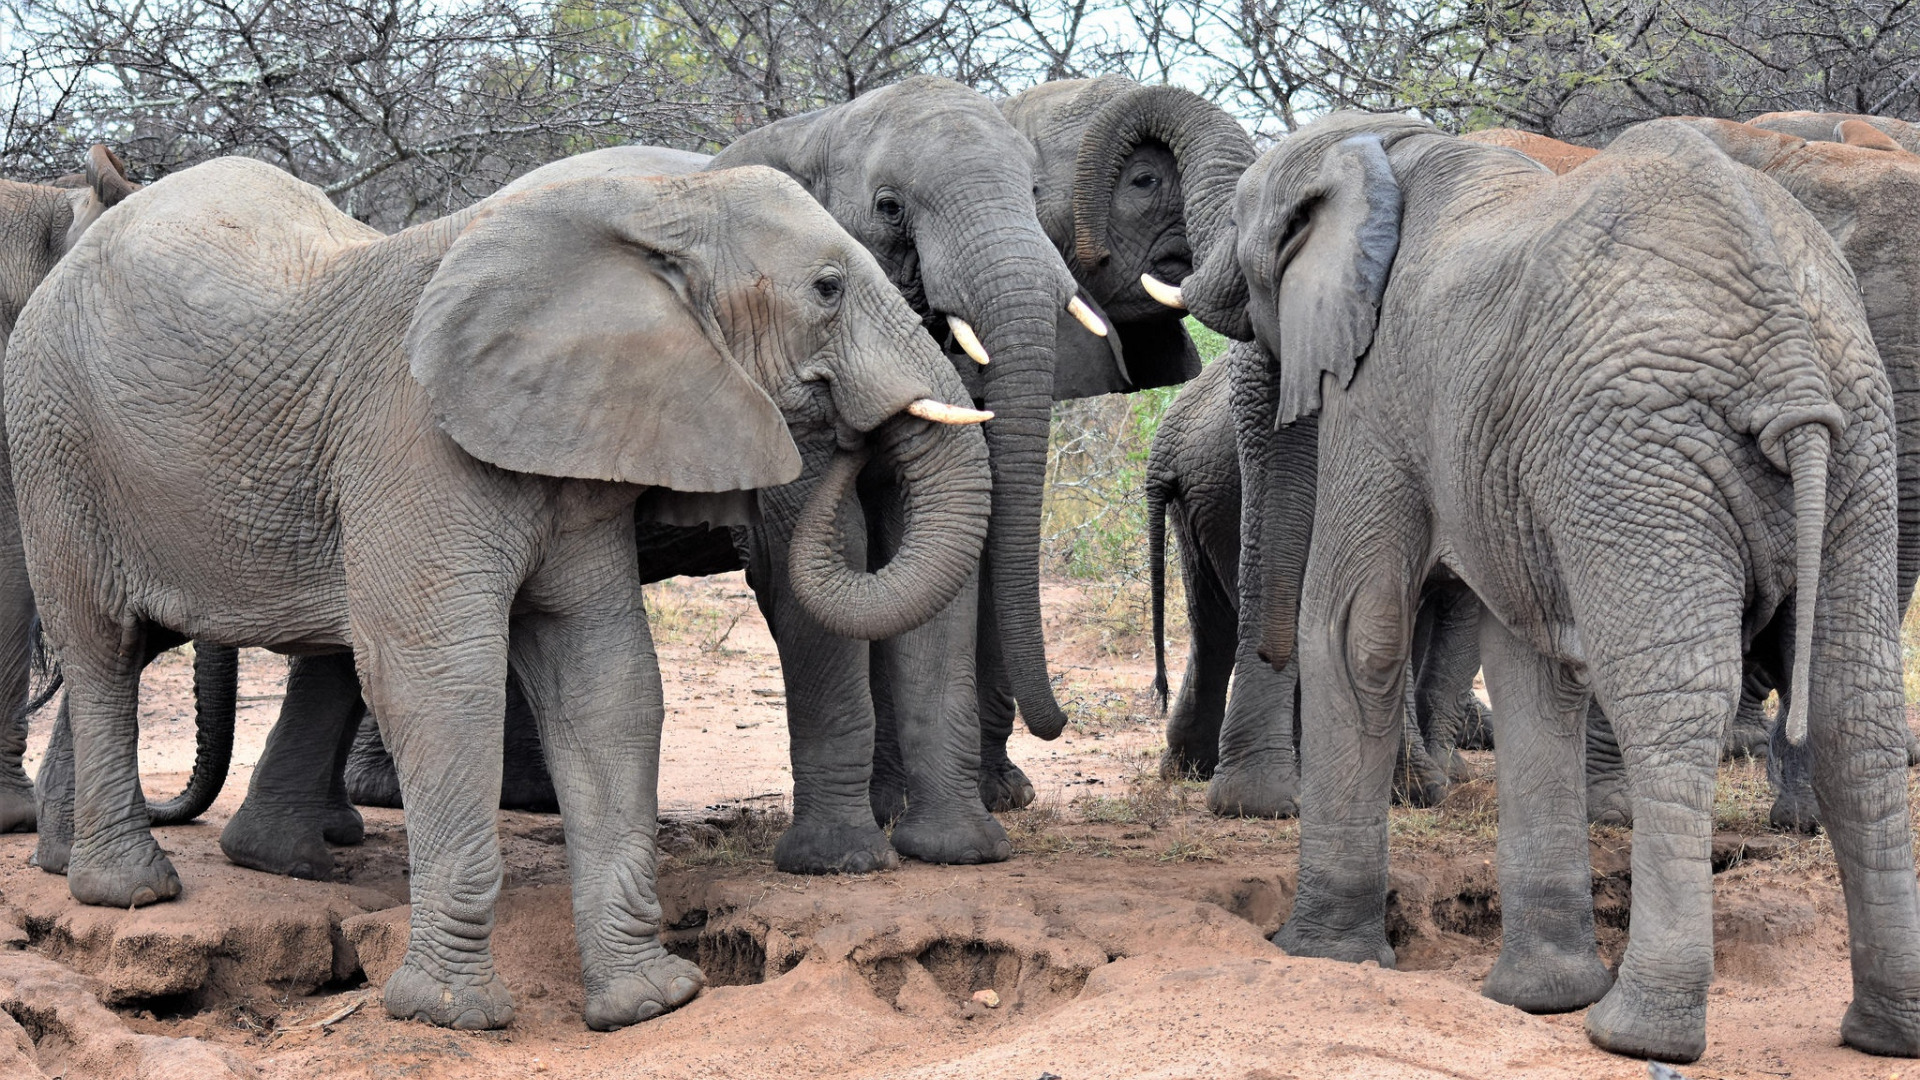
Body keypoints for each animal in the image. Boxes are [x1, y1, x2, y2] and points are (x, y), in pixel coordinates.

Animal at [15, 153, 998, 1022]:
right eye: (828, 288)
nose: (853, 437)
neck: (655, 205)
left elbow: (607, 678)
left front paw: (650, 1003)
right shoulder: (414, 443)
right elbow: (443, 682)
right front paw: (449, 1014)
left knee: (131, 645)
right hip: (54, 450)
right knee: (102, 650)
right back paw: (130, 892)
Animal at [1182, 109, 1920, 1060]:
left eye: (1244, 222)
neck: (1392, 145)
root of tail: (1786, 344)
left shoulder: (1381, 386)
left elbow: (1357, 629)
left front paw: (1320, 956)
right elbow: (1532, 662)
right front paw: (1540, 999)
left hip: (1643, 451)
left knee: (1673, 703)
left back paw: (1640, 1034)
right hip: (1860, 438)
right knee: (1853, 706)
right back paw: (1884, 1033)